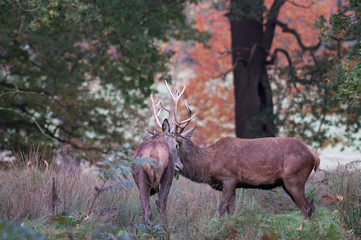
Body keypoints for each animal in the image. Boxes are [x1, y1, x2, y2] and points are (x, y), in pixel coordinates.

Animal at [131, 93, 183, 222]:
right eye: (176, 145)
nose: (180, 166)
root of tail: (153, 154)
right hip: (166, 178)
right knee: (159, 204)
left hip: (143, 180)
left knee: (148, 209)